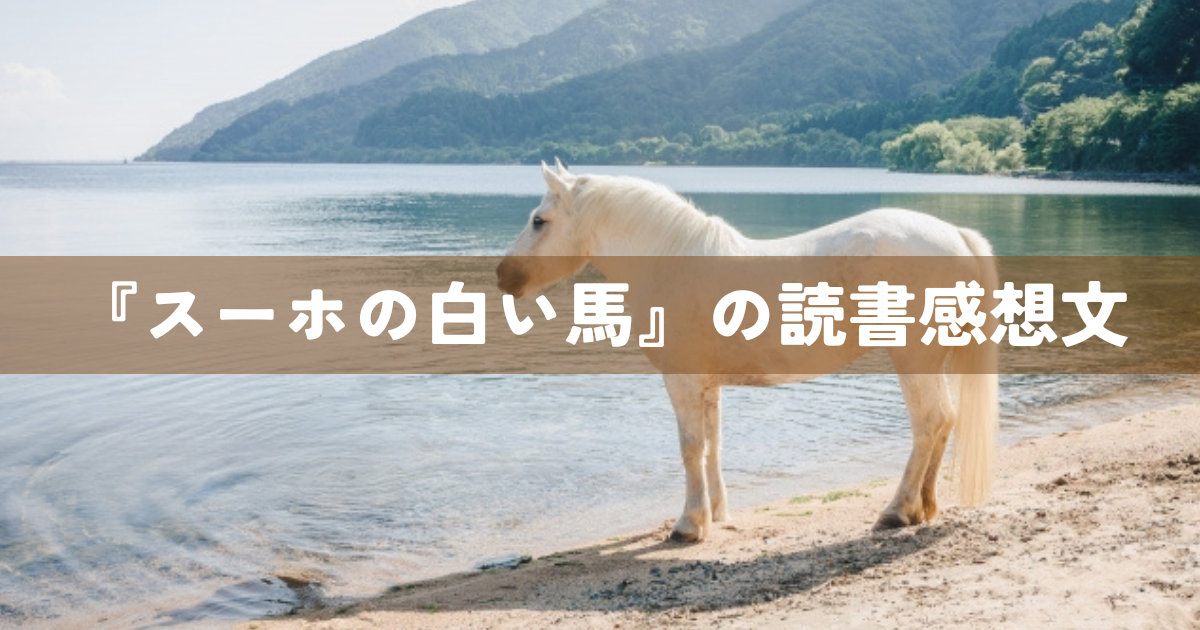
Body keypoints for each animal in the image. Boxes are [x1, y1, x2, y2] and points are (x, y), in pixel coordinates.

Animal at [496, 160, 998, 542]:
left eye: (539, 220)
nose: (502, 275)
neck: (671, 261)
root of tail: (955, 234)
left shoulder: (681, 382)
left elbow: (690, 447)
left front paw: (688, 526)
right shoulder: (708, 386)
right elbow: (713, 446)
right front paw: (717, 515)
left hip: (912, 358)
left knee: (929, 422)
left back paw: (897, 510)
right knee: (944, 421)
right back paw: (922, 508)